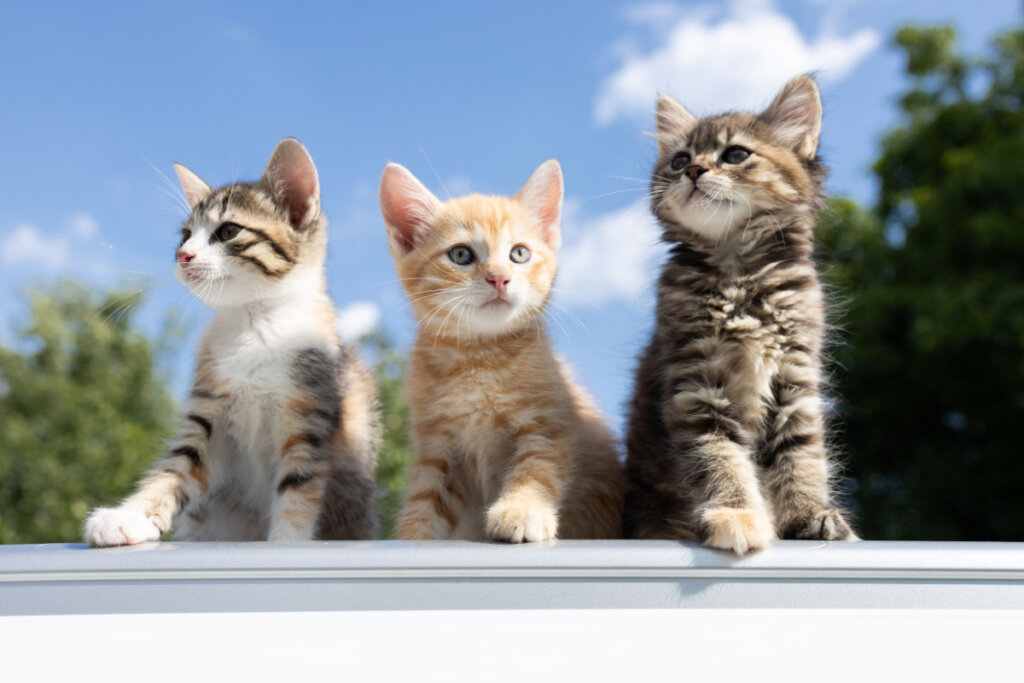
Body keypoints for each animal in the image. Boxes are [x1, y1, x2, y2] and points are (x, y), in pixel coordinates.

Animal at [84, 137, 380, 544]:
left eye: (227, 232)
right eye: (184, 235)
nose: (182, 255)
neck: (252, 322)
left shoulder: (310, 412)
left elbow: (299, 484)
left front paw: (286, 541)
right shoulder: (208, 414)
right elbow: (176, 467)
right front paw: (129, 516)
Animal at [380, 157, 622, 540]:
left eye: (519, 254)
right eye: (460, 254)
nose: (499, 278)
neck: (478, 358)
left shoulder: (548, 426)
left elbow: (536, 470)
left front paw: (521, 510)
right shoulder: (437, 446)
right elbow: (424, 497)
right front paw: (413, 535)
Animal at [622, 76, 856, 557]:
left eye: (735, 155)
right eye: (679, 160)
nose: (694, 171)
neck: (738, 275)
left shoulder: (795, 381)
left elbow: (801, 456)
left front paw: (809, 514)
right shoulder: (697, 387)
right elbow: (720, 457)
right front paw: (736, 514)